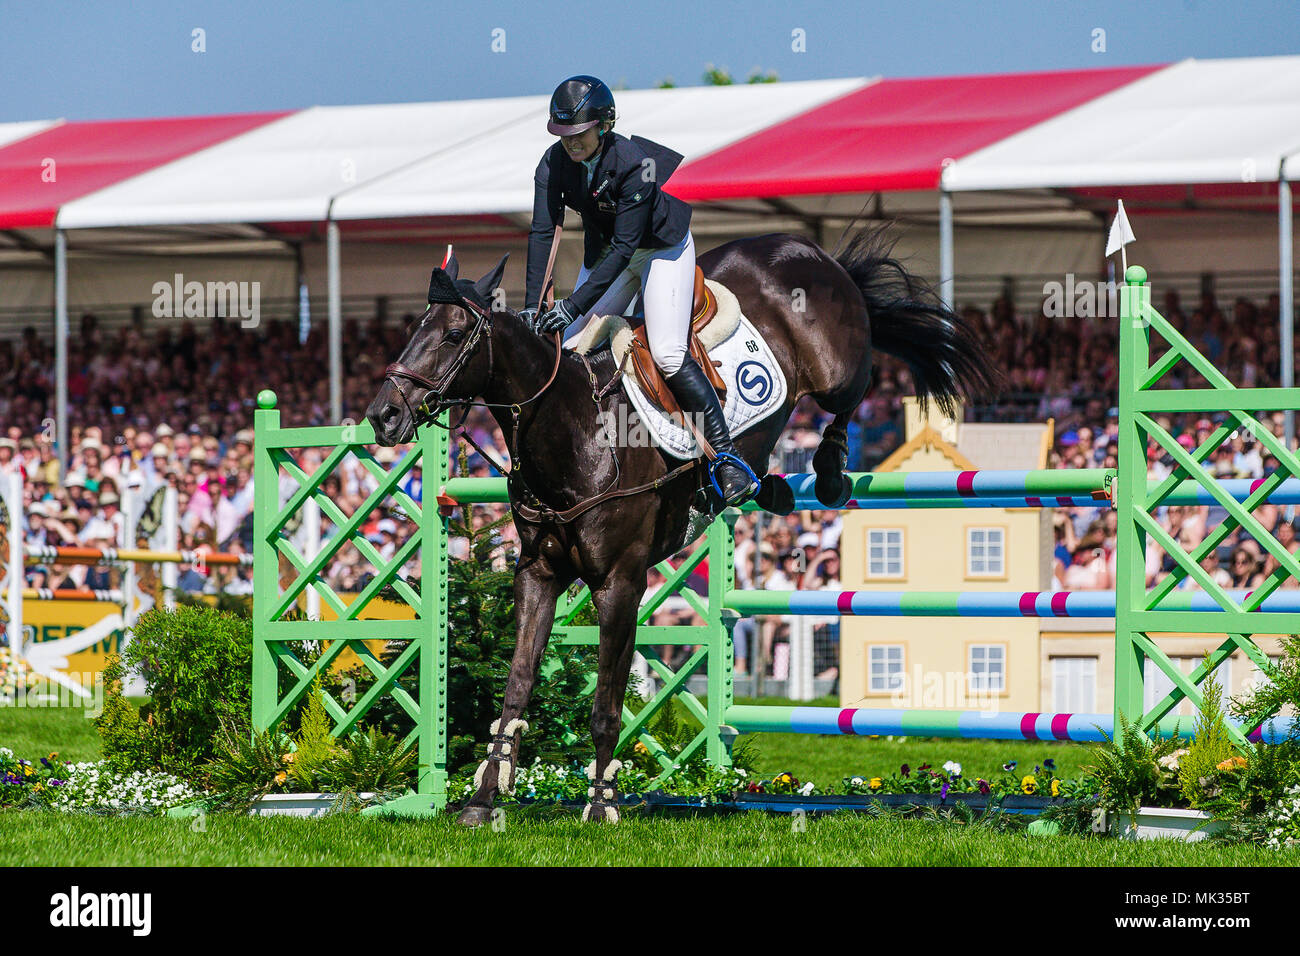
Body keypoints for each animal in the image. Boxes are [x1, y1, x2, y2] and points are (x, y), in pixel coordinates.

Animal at [366, 227, 993, 827]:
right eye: (413, 330)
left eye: (452, 336)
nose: (382, 416)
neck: (576, 433)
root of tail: (806, 247)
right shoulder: (537, 573)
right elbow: (516, 686)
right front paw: (484, 800)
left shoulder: (620, 583)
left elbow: (606, 704)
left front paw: (602, 804)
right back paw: (766, 484)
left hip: (836, 368)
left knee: (853, 388)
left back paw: (829, 470)